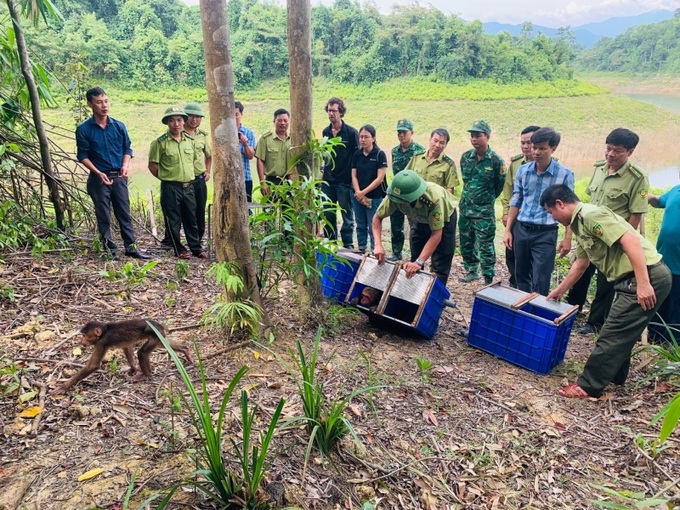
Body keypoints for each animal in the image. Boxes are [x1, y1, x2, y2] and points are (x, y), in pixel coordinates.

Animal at [51, 318, 191, 394]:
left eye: (85, 336)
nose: (82, 341)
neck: (105, 331)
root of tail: (161, 326)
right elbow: (127, 346)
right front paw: (133, 368)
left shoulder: (102, 342)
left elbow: (93, 365)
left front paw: (64, 386)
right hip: (159, 335)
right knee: (163, 343)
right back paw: (186, 350)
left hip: (155, 334)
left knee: (142, 352)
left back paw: (146, 375)